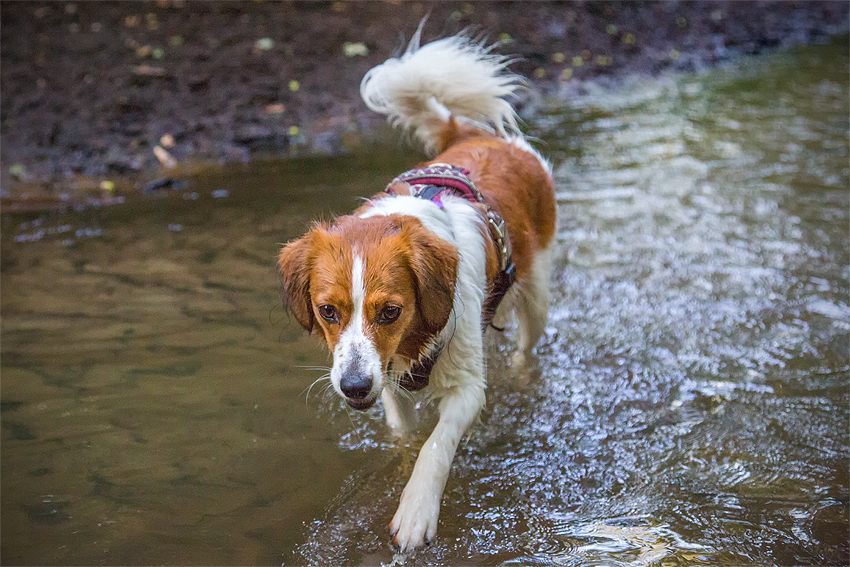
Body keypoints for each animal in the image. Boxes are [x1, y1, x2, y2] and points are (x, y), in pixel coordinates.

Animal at [278, 28, 556, 552]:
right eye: (328, 311)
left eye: (390, 311)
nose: (353, 388)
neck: (413, 343)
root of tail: (480, 137)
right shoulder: (385, 380)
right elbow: (407, 438)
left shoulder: (466, 385)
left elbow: (436, 446)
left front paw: (415, 511)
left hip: (537, 294)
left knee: (527, 347)